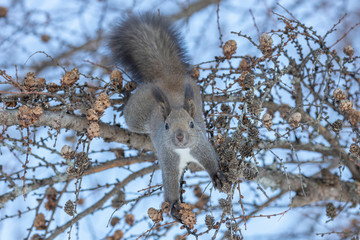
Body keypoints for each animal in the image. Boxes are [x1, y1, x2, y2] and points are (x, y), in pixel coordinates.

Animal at [108, 13, 224, 221]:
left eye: (192, 124)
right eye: (166, 125)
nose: (180, 136)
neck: (183, 151)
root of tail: (166, 77)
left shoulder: (201, 145)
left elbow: (210, 160)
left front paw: (217, 176)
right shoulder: (167, 158)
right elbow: (170, 182)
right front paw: (174, 204)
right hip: (136, 117)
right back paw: (124, 102)